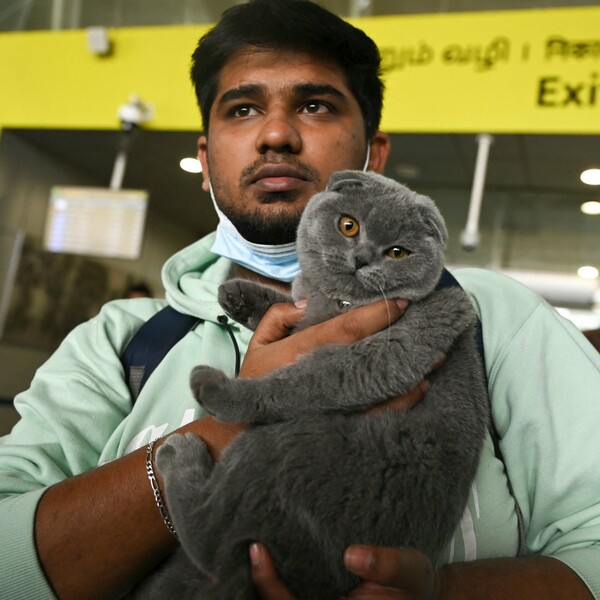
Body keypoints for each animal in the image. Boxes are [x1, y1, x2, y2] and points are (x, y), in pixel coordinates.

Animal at [130, 169, 488, 600]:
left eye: (398, 252)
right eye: (349, 225)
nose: (362, 258)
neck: (339, 302)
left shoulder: (400, 345)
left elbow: (306, 377)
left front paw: (231, 393)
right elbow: (289, 302)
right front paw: (239, 295)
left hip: (282, 446)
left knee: (211, 541)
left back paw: (182, 448)